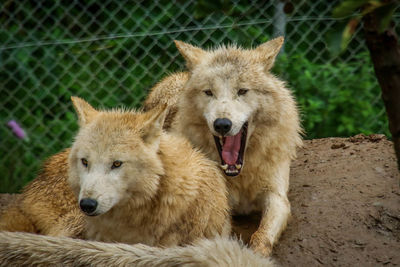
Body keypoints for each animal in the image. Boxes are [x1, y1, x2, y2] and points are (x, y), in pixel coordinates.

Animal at [145, 36, 304, 256]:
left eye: (242, 91)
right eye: (209, 92)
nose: (221, 124)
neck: (241, 175)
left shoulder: (277, 197)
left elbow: (262, 235)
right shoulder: (218, 205)